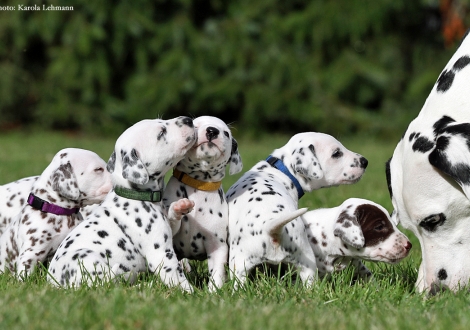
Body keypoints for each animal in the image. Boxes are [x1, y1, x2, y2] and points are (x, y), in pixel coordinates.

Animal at [49, 116, 198, 292]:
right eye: (161, 133)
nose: (188, 119)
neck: (135, 194)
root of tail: (56, 284)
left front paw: (180, 206)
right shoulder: (160, 252)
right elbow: (175, 274)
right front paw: (191, 292)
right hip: (86, 258)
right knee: (107, 284)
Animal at [162, 116, 242, 292]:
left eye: (226, 133)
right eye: (195, 126)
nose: (212, 131)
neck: (198, 185)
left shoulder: (217, 246)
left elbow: (217, 272)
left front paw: (214, 292)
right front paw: (179, 207)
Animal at [226, 131, 370, 286]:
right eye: (336, 153)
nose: (365, 161)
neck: (281, 170)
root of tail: (271, 227)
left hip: (239, 266)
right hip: (307, 259)